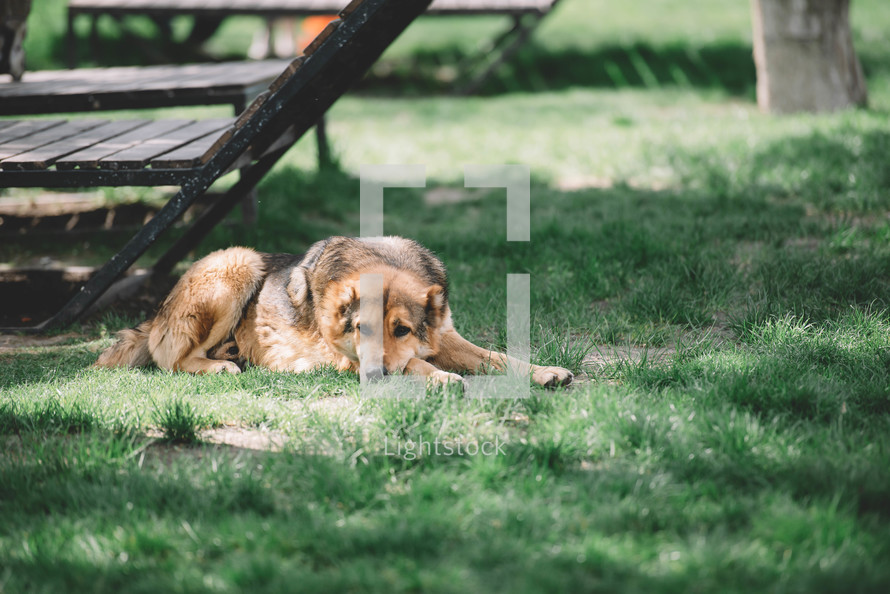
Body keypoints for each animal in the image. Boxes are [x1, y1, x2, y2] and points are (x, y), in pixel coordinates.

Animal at [95, 236, 568, 388]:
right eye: (361, 329)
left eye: (402, 329)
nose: (375, 376)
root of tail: (159, 311)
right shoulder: (354, 357)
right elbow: (415, 365)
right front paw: (441, 378)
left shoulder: (445, 336)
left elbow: (498, 357)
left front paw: (543, 371)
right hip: (238, 263)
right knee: (171, 359)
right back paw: (221, 366)